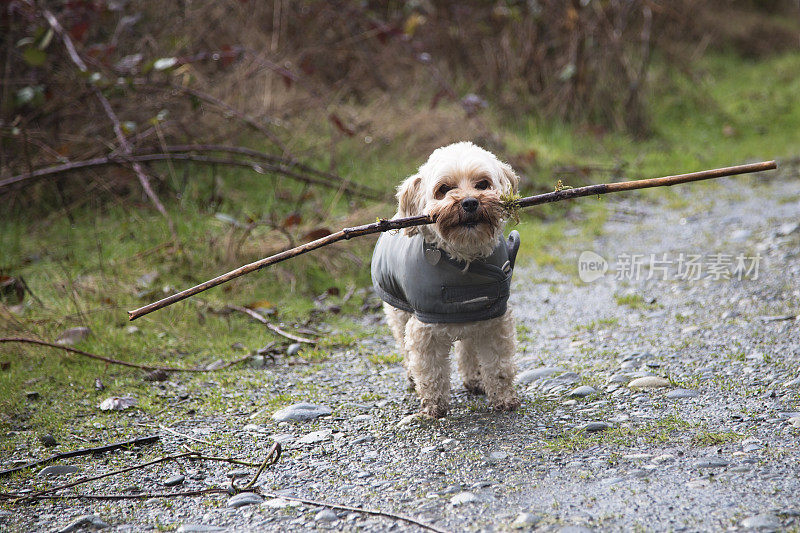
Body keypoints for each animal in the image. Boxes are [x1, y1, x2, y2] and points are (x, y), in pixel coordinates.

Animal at [372, 141, 520, 416]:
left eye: (482, 184)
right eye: (444, 189)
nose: (470, 203)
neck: (465, 262)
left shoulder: (493, 319)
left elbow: (499, 366)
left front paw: (504, 399)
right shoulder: (424, 329)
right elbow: (431, 371)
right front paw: (435, 406)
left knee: (467, 347)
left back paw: (475, 379)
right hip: (398, 311)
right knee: (405, 348)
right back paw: (413, 378)